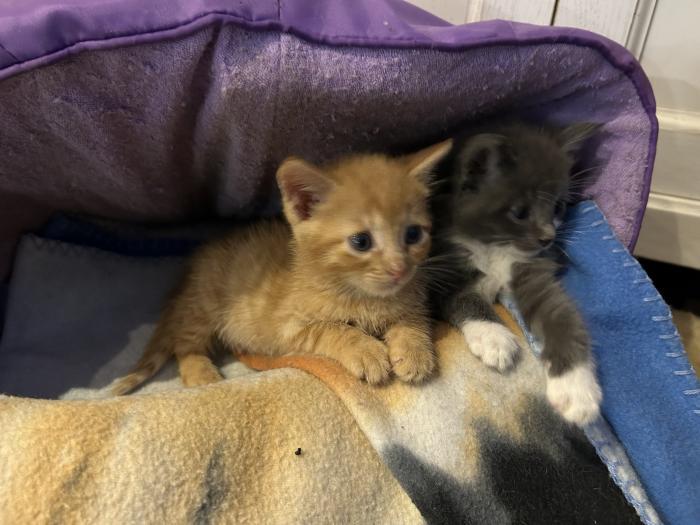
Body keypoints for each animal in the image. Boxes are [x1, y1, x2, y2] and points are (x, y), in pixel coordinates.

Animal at [108, 140, 448, 392]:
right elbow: (333, 329)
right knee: (184, 344)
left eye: (413, 234)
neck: (362, 295)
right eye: (361, 241)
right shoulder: (288, 327)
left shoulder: (411, 298)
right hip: (203, 307)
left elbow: (413, 318)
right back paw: (201, 374)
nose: (400, 268)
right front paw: (366, 351)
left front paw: (414, 351)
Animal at [430, 123, 604, 426]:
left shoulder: (532, 270)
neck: (496, 247)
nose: (549, 237)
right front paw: (494, 337)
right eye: (520, 212)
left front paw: (575, 387)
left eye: (558, 206)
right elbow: (465, 299)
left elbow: (560, 313)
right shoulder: (445, 271)